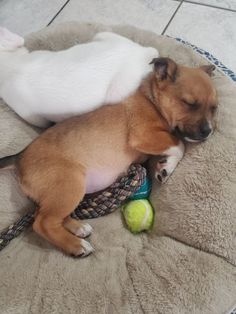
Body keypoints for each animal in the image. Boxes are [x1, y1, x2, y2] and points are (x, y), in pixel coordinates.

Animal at [0, 57, 218, 256]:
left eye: (214, 108)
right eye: (189, 103)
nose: (208, 132)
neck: (152, 101)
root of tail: (19, 158)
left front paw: (165, 166)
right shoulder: (144, 136)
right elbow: (179, 144)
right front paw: (168, 167)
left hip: (59, 193)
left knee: (44, 214)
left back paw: (78, 228)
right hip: (70, 184)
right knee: (42, 223)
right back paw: (76, 246)